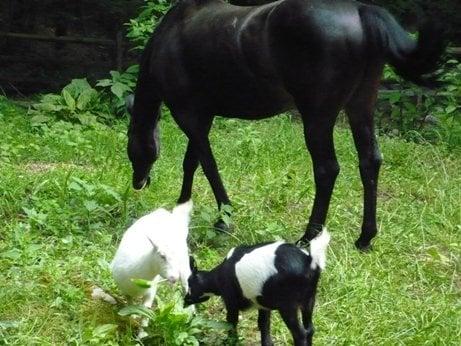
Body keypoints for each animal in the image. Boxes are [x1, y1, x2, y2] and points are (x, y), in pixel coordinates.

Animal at [127, 0, 444, 250]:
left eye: (130, 147)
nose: (139, 182)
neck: (167, 39)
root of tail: (359, 10)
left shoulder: (189, 116)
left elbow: (208, 165)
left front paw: (223, 221)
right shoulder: (202, 116)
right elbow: (192, 162)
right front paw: (183, 206)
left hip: (317, 117)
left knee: (327, 169)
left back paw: (307, 237)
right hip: (361, 106)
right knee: (370, 161)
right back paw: (365, 238)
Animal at [185, 228, 328, 344]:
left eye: (190, 285)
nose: (185, 301)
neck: (218, 276)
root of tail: (309, 262)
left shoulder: (231, 300)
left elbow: (231, 322)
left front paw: (231, 341)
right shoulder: (262, 305)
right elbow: (264, 325)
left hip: (288, 305)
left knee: (300, 334)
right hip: (309, 299)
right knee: (310, 329)